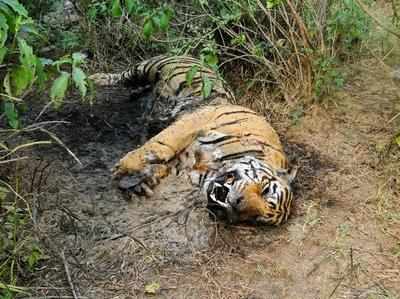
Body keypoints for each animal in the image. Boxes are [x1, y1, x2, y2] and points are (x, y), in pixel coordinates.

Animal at [90, 55, 296, 225]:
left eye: (255, 219)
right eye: (266, 190)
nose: (235, 207)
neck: (211, 168)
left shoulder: (182, 163)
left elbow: (161, 165)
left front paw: (141, 184)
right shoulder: (195, 121)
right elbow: (161, 143)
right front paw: (124, 166)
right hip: (147, 68)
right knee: (122, 76)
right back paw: (95, 78)